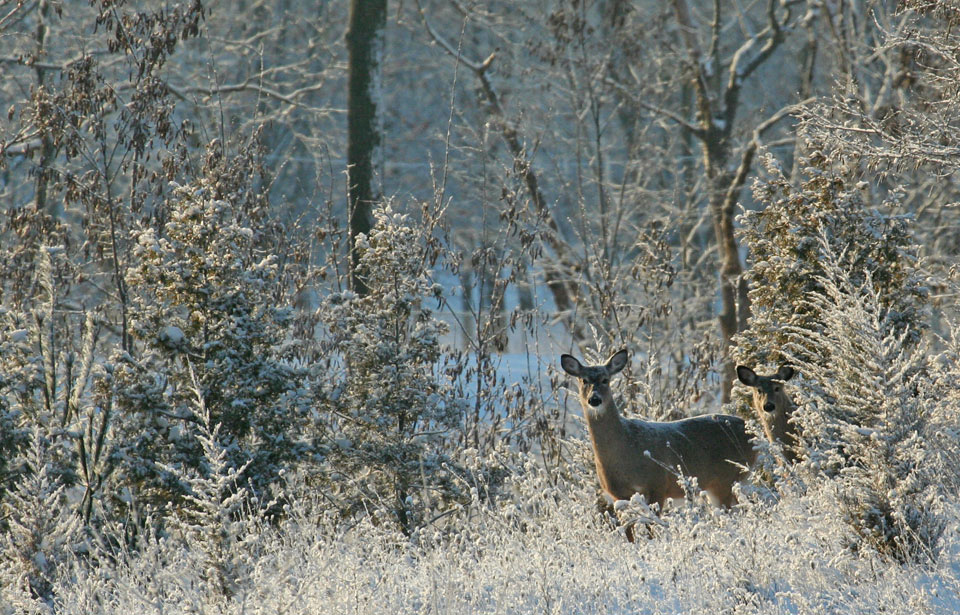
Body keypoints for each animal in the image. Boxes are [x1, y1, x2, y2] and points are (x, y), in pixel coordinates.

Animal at [556, 348, 756, 512]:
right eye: (584, 380)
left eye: (606, 380)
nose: (594, 399)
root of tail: (752, 435)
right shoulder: (617, 493)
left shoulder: (658, 484)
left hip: (727, 478)